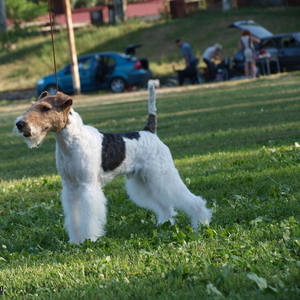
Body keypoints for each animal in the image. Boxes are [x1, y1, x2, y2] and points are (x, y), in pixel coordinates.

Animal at [14, 84, 211, 244]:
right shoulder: (70, 187)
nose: (20, 124)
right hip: (144, 180)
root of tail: (149, 131)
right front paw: (75, 241)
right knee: (165, 205)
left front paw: (89, 239)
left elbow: (88, 215)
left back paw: (201, 223)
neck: (71, 141)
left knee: (191, 200)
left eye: (45, 108)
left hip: (162, 174)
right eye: (31, 105)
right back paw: (165, 223)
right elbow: (73, 216)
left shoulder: (88, 186)